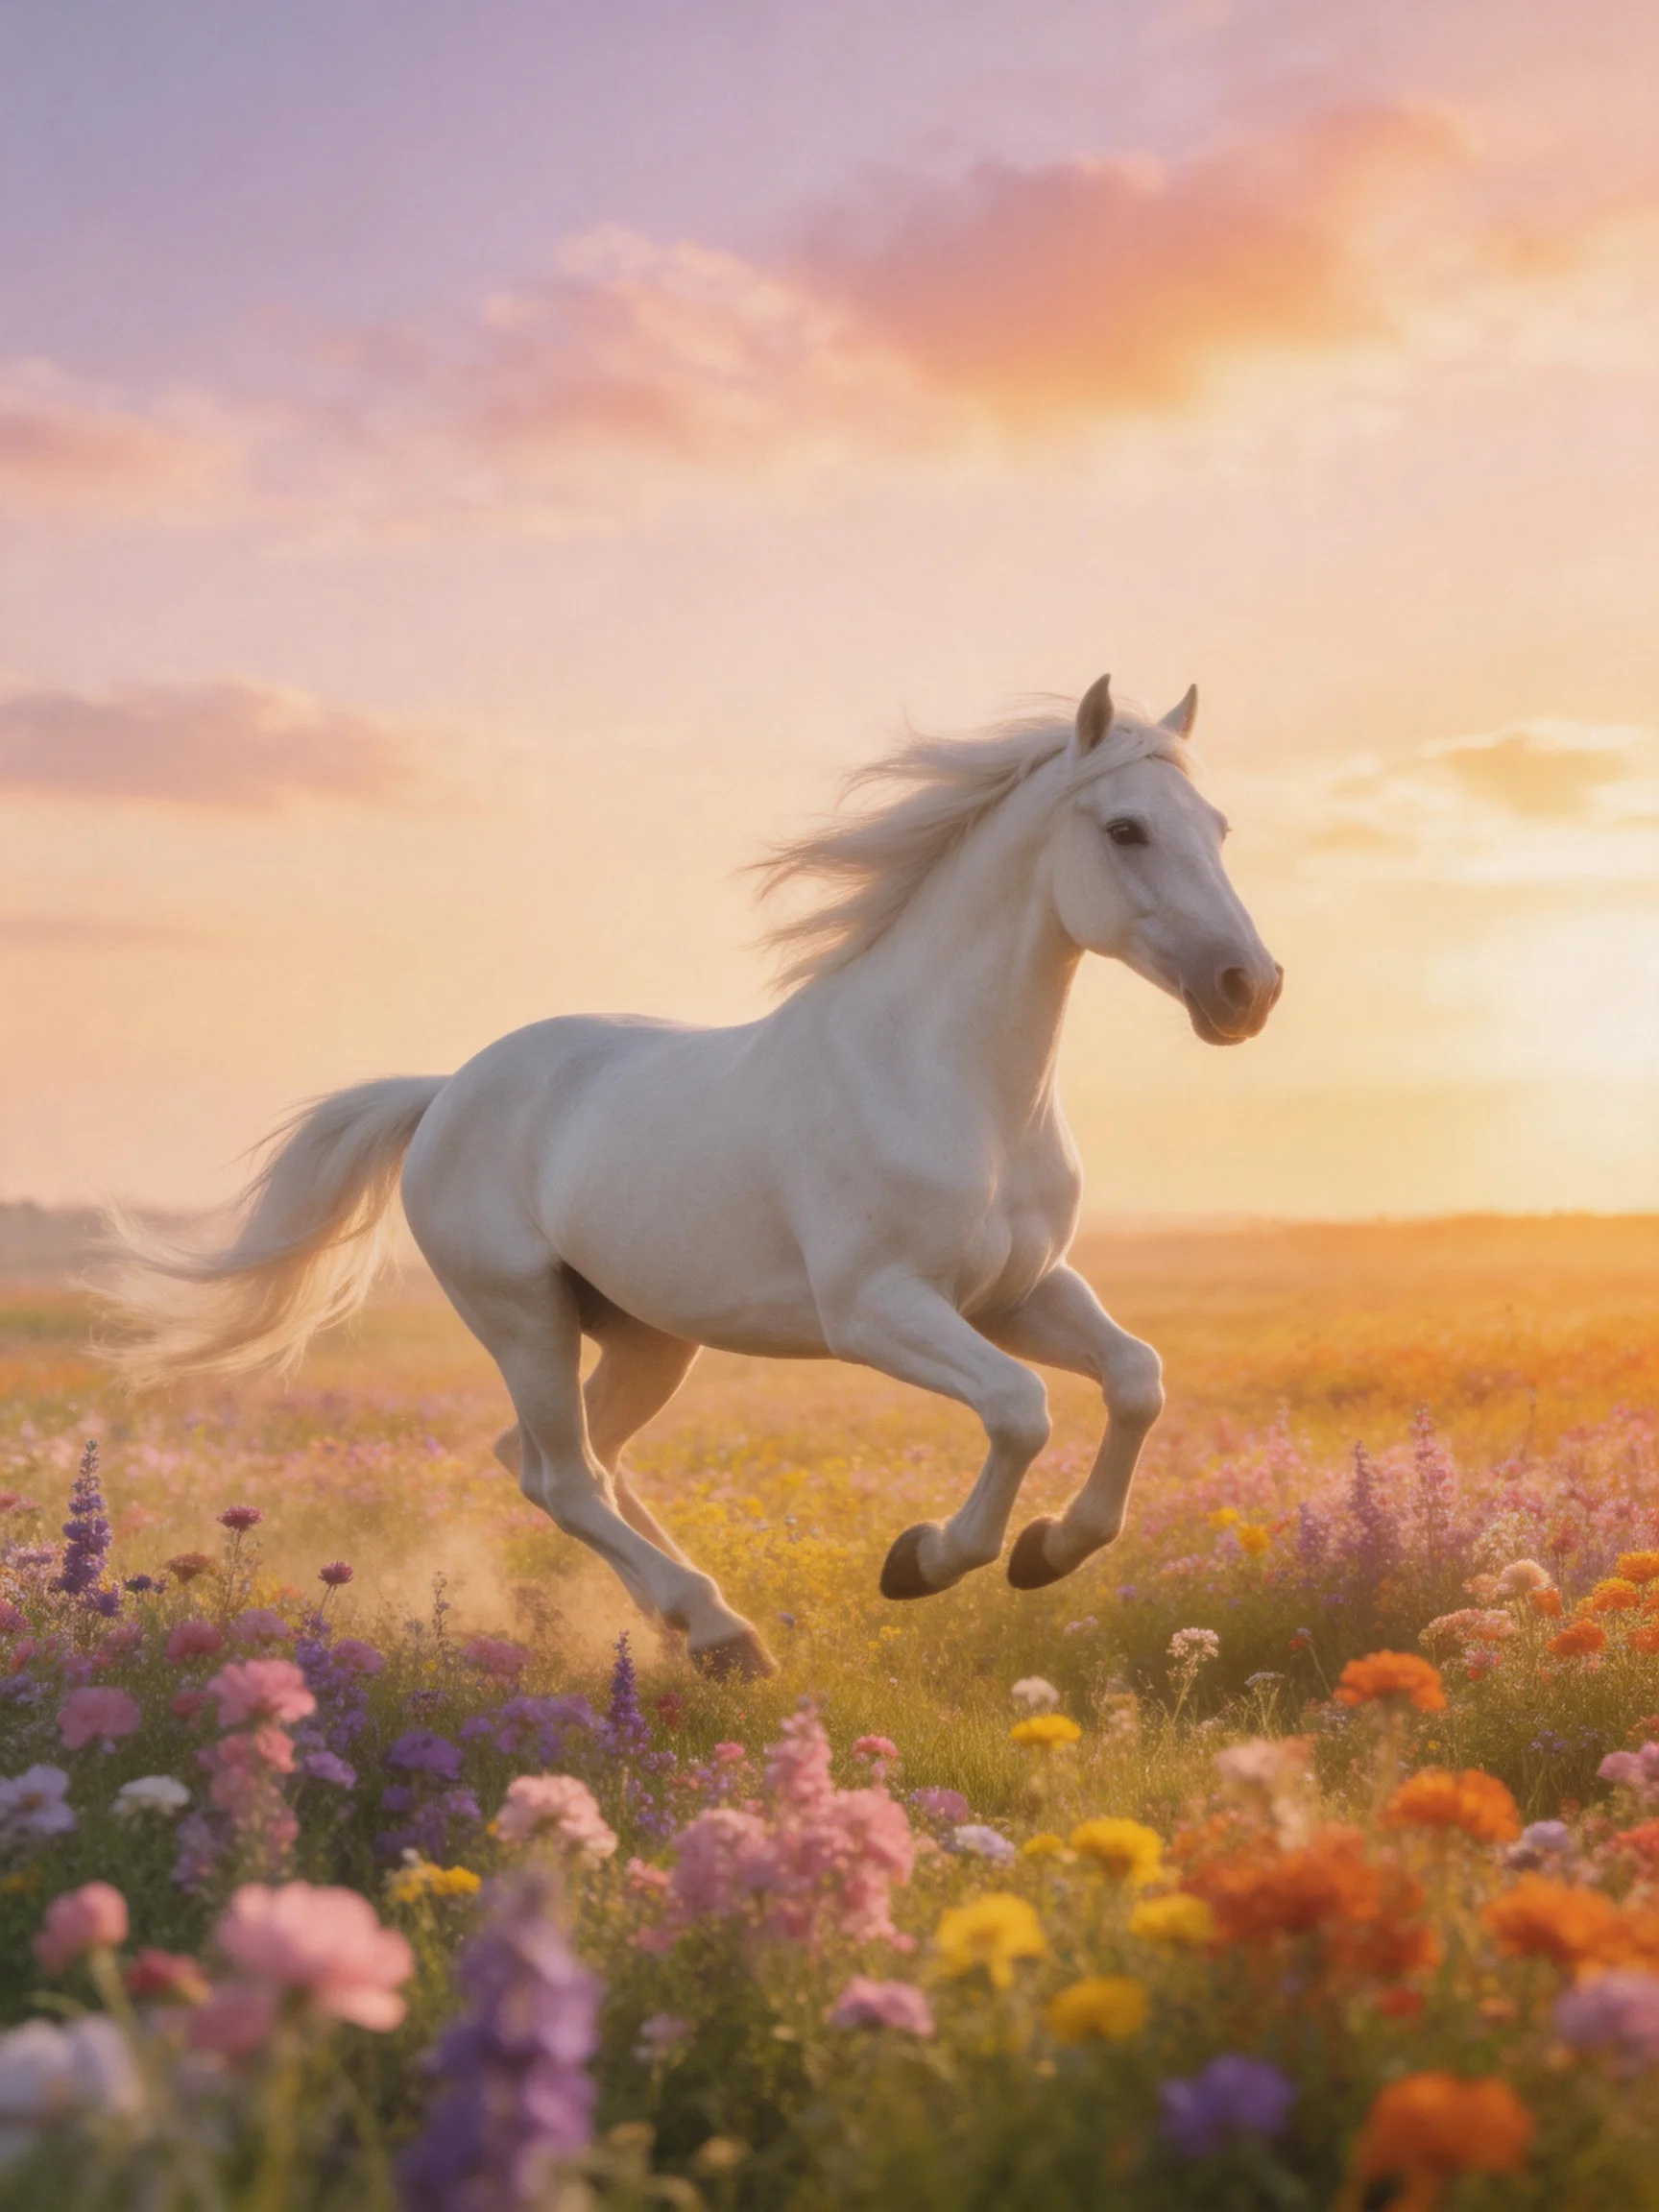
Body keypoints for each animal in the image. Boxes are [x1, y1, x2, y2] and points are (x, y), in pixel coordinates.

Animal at [104, 674, 1281, 1680]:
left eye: (1218, 829)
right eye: (1125, 829)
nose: (1249, 989)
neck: (946, 1081)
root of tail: (444, 1093)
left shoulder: (1019, 1293)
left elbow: (1135, 1378)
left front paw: (1051, 1549)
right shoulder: (880, 1311)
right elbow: (1020, 1409)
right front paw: (924, 1561)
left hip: (648, 1336)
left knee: (558, 1461)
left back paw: (700, 1626)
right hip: (523, 1316)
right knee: (563, 1472)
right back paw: (718, 1631)